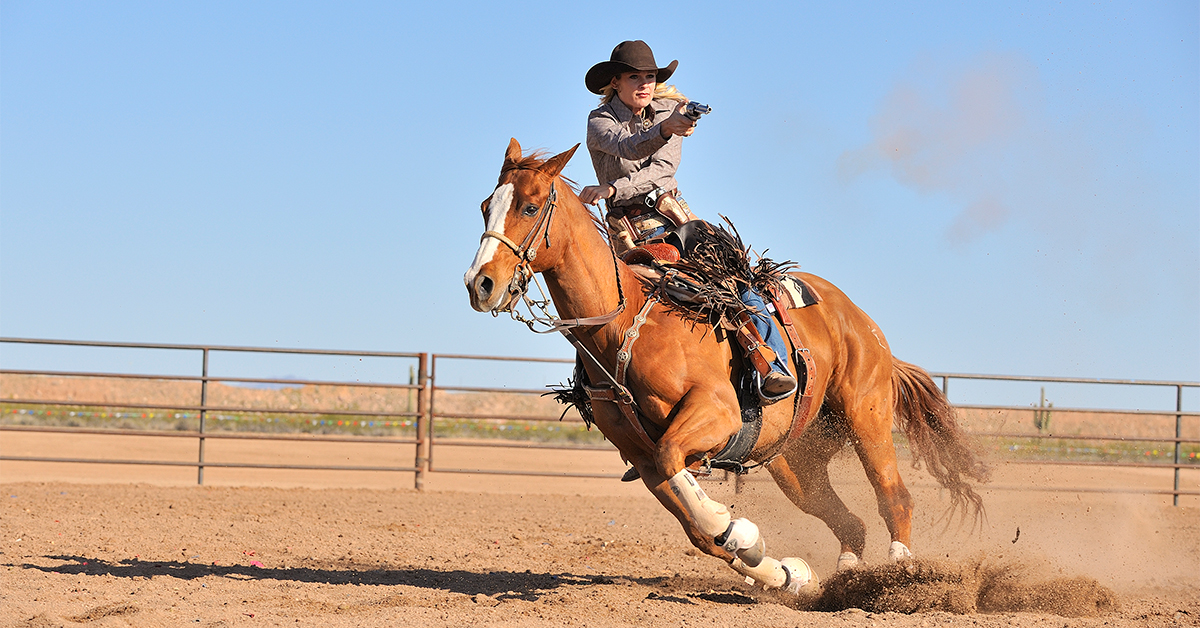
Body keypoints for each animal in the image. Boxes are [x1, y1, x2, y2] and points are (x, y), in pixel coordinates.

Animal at [463, 138, 988, 595]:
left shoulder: (715, 413)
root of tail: (860, 321)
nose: (480, 283)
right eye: (486, 206)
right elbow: (697, 527)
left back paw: (901, 576)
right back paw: (841, 578)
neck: (627, 324)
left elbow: (684, 476)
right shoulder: (639, 454)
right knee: (848, 521)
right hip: (796, 459)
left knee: (893, 496)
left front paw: (736, 529)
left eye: (530, 207)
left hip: (867, 415)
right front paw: (779, 569)